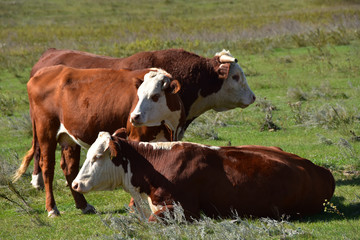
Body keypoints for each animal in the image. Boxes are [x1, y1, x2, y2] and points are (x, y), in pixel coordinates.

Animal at [12, 66, 183, 218]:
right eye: (139, 95)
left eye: (155, 96)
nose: (134, 117)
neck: (167, 125)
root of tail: (42, 72)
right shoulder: (136, 138)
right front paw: (134, 208)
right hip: (46, 132)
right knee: (47, 168)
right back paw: (52, 208)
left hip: (68, 138)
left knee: (69, 168)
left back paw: (83, 205)